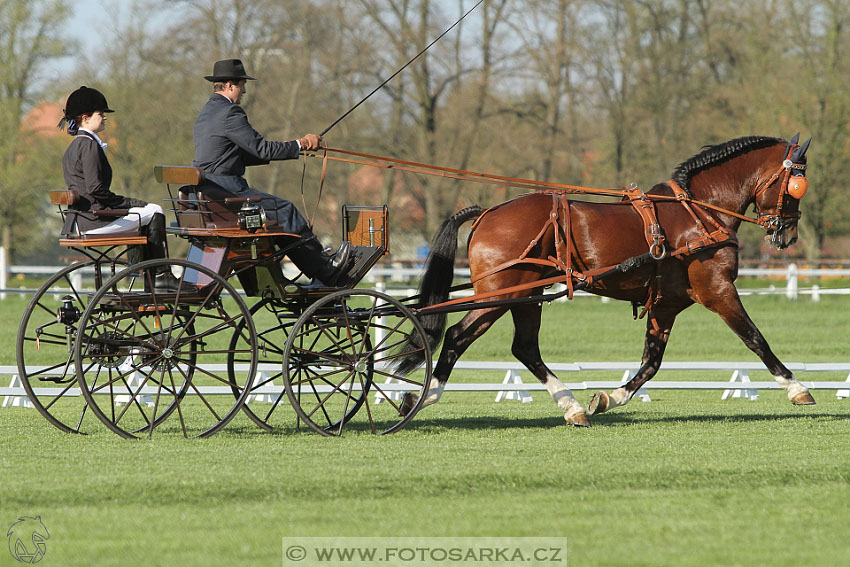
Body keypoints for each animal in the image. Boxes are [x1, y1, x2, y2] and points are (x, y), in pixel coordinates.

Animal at [394, 134, 812, 426]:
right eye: (796, 182)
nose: (788, 234)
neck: (698, 214)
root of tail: (488, 211)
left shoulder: (667, 302)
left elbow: (651, 361)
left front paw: (610, 397)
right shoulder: (717, 289)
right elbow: (755, 339)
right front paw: (797, 388)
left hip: (527, 295)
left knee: (524, 348)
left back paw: (572, 406)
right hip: (500, 294)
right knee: (458, 337)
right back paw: (424, 396)